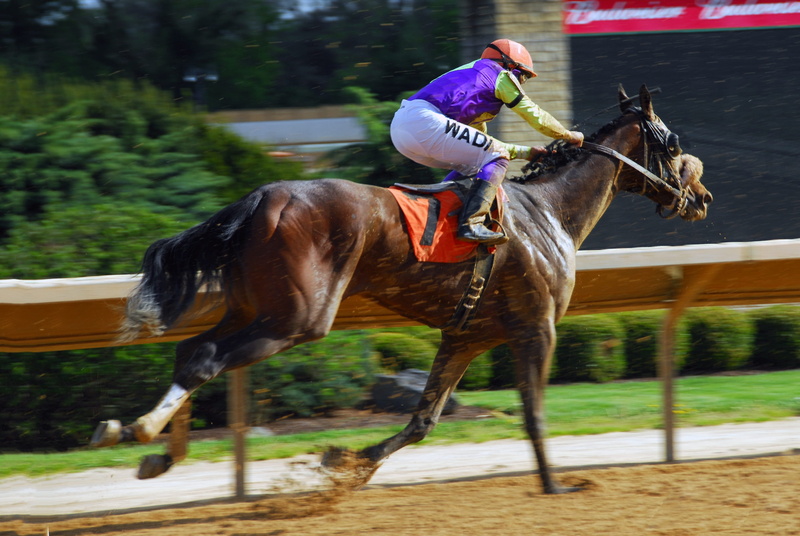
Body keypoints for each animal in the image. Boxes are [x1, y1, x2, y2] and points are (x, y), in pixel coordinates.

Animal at [91, 85, 712, 494]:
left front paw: (346, 460)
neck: (550, 213)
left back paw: (143, 443)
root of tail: (265, 195)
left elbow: (422, 421)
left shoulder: (465, 336)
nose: (701, 198)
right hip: (297, 318)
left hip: (253, 305)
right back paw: (139, 431)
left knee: (193, 350)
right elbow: (534, 414)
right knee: (207, 358)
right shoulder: (535, 328)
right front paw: (556, 485)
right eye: (671, 140)